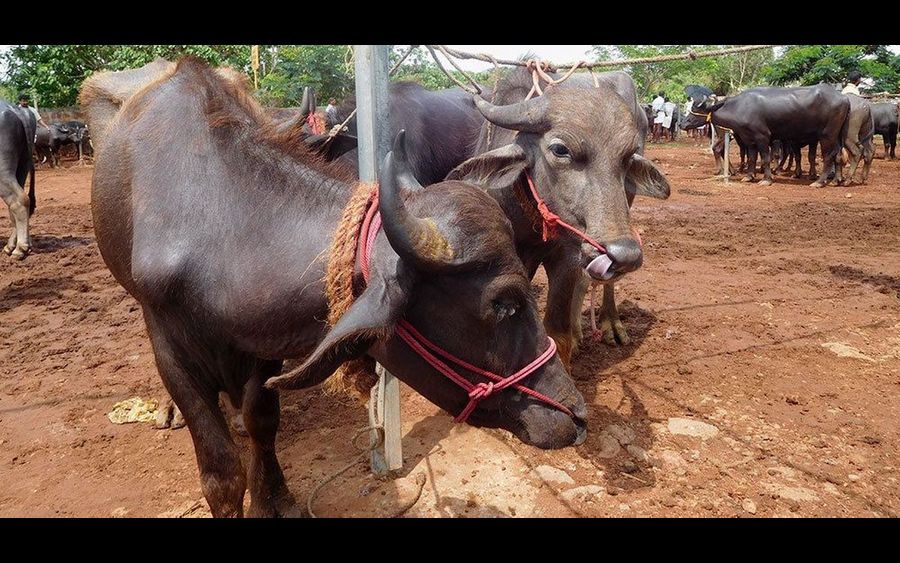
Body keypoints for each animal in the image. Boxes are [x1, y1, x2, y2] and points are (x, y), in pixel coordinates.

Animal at [91, 59, 592, 516]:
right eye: (503, 303)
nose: (576, 415)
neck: (215, 224)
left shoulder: (264, 339)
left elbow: (262, 419)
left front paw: (273, 497)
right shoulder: (171, 347)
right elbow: (221, 474)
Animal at [448, 68, 668, 368]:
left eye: (627, 157)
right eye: (560, 150)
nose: (625, 254)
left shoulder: (566, 256)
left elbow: (557, 333)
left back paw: (608, 323)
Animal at [684, 85, 852, 188]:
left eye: (697, 109)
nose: (683, 123)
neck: (740, 107)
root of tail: (844, 98)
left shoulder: (762, 137)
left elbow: (765, 158)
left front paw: (766, 179)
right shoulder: (749, 139)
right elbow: (752, 158)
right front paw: (749, 176)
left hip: (827, 135)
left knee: (828, 156)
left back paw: (819, 181)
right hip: (837, 136)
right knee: (838, 155)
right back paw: (836, 180)